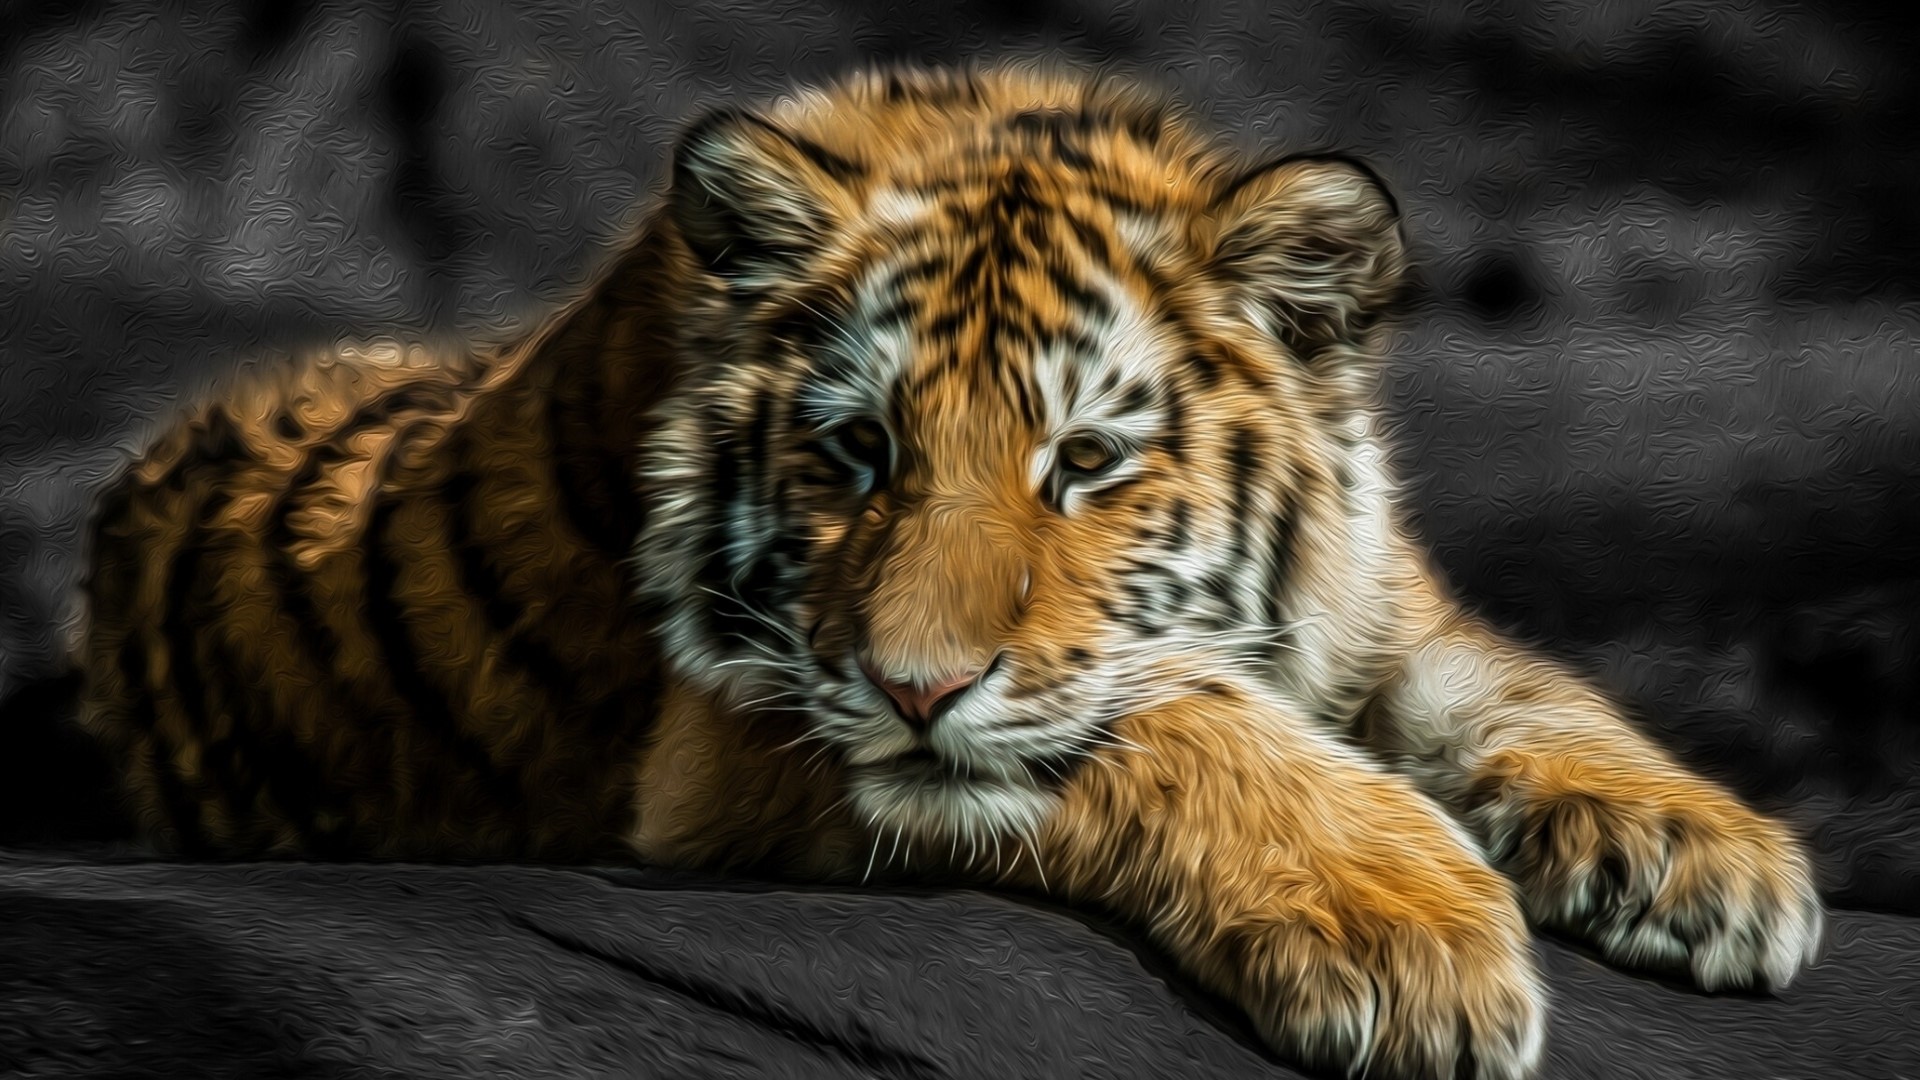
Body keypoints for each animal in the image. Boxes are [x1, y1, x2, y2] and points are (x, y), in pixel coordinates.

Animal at [75, 63, 1825, 1080]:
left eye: (1088, 463)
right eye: (859, 452)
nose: (916, 687)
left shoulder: (1374, 610)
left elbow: (1512, 685)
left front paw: (1712, 861)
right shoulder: (740, 734)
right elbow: (1168, 718)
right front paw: (1407, 936)